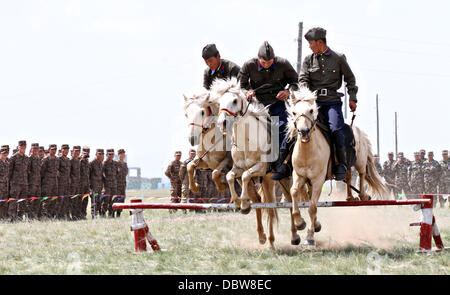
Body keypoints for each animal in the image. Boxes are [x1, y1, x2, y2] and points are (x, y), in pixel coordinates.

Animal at [211, 78, 302, 247]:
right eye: (219, 102)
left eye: (234, 100)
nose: (222, 123)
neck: (247, 140)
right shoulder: (238, 168)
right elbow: (230, 177)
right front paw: (238, 203)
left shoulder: (260, 167)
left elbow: (246, 176)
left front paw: (244, 203)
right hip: (267, 180)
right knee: (268, 206)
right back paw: (267, 239)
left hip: (284, 178)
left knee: (288, 200)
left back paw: (295, 235)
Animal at [284, 86, 386, 246]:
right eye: (294, 112)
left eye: (311, 110)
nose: (303, 132)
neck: (308, 152)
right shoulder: (299, 176)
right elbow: (294, 192)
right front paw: (300, 223)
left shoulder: (318, 180)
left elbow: (312, 207)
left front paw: (310, 237)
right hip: (346, 166)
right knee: (348, 175)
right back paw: (350, 198)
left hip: (360, 160)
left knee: (362, 174)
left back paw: (362, 195)